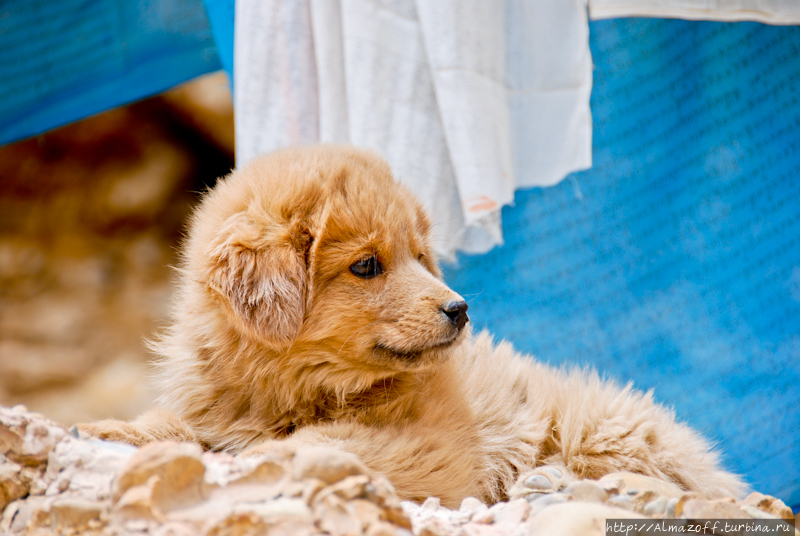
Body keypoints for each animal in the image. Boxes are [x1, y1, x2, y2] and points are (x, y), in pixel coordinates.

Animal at [81, 146, 744, 506]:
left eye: (421, 256)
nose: (460, 309)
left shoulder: (432, 451)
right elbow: (169, 424)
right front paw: (114, 430)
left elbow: (323, 444)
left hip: (603, 429)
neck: (292, 388)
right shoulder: (208, 405)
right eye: (367, 265)